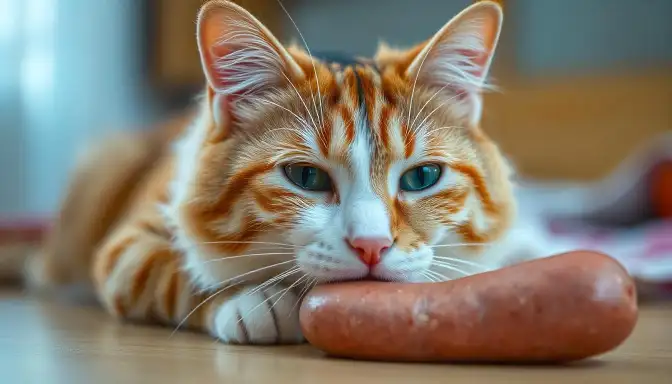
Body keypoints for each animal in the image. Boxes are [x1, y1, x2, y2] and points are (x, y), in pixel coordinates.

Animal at [18, 0, 520, 344]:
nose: (372, 246)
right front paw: (255, 301)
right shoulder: (127, 248)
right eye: (306, 177)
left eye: (421, 178)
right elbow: (178, 271)